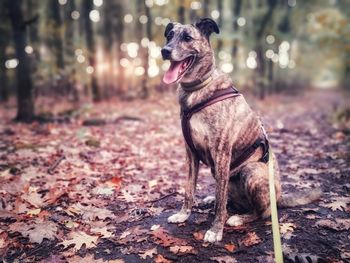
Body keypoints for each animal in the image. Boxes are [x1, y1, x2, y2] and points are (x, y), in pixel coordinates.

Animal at [161, 17, 320, 243]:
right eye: (169, 36)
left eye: (188, 38)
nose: (164, 51)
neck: (198, 89)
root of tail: (279, 197)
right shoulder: (191, 154)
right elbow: (189, 189)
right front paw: (183, 214)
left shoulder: (221, 153)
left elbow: (220, 205)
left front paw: (215, 230)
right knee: (227, 198)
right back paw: (211, 200)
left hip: (252, 172)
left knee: (260, 212)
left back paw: (238, 218)